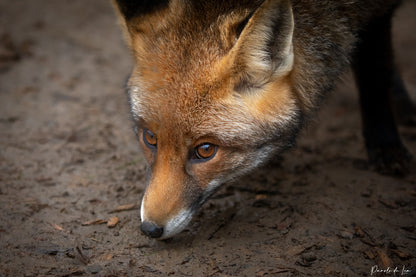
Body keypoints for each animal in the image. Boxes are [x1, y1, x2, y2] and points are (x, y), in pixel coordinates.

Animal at [112, 0, 414, 237]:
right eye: (150, 138)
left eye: (206, 150)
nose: (150, 229)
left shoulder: (376, 13)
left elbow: (375, 82)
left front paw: (385, 146)